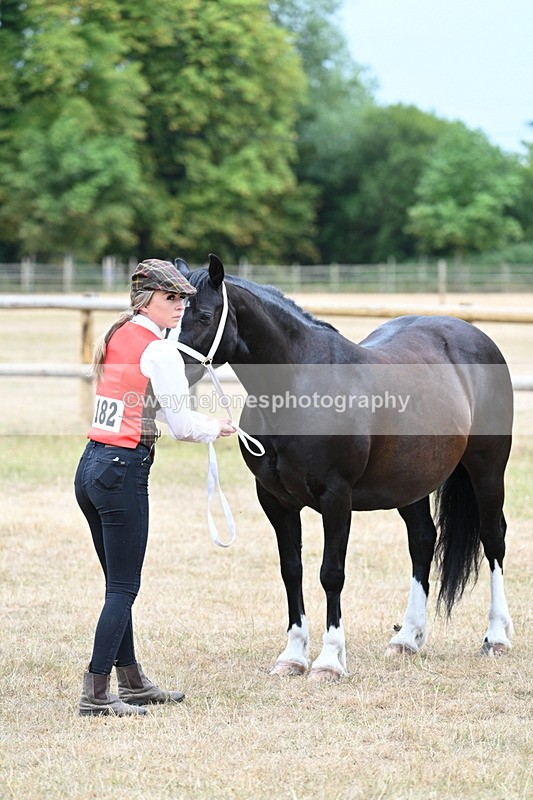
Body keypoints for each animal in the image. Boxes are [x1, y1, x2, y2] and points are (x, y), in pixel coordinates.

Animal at [175, 253, 514, 681]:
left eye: (204, 315)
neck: (298, 386)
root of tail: (474, 337)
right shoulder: (275, 500)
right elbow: (292, 570)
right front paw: (293, 656)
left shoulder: (336, 497)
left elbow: (330, 573)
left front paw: (330, 660)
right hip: (410, 483)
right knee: (422, 541)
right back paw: (407, 638)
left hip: (487, 470)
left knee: (493, 539)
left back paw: (496, 637)